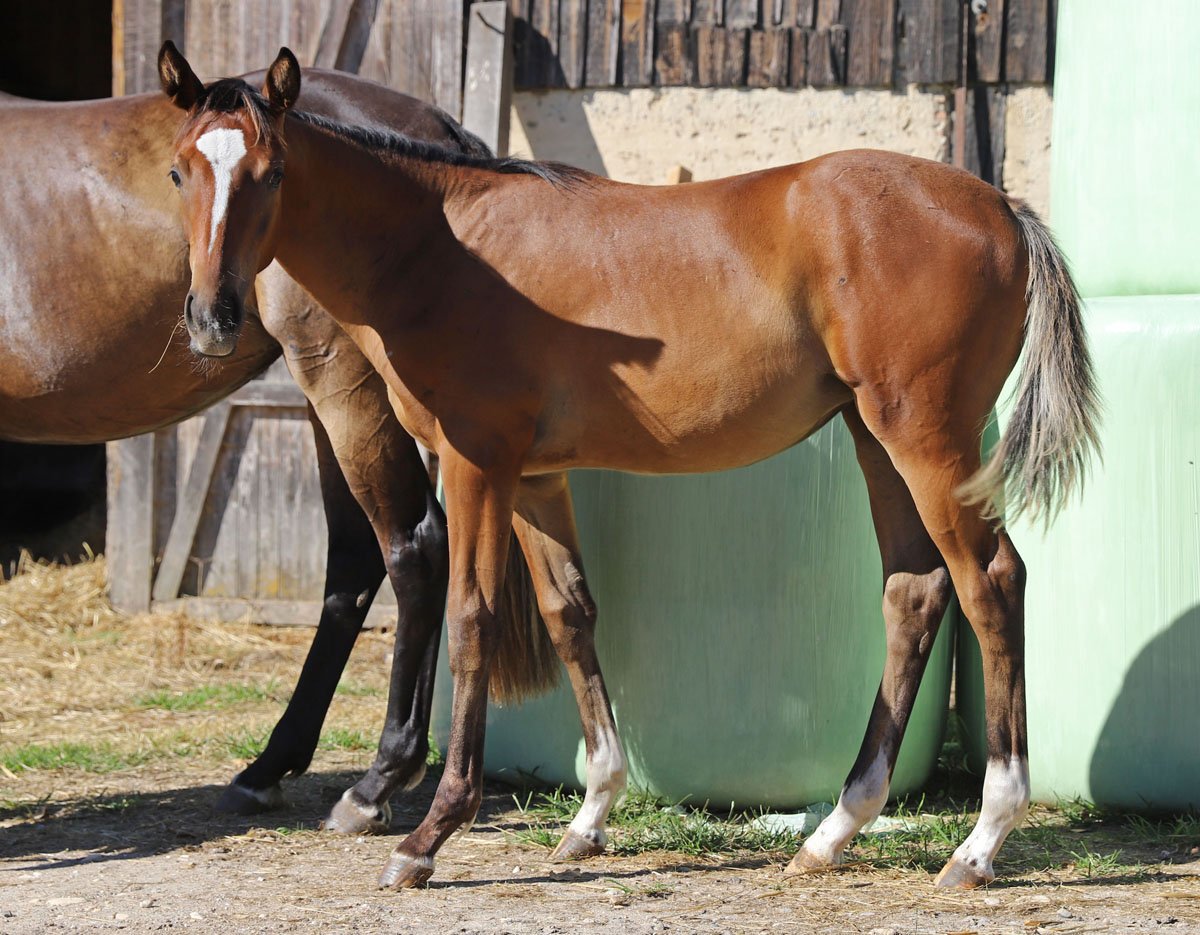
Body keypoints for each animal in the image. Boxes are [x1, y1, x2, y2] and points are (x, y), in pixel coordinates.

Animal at [0, 66, 554, 834]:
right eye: (175, 173)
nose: (208, 316)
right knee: (358, 561)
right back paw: (274, 767)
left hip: (344, 386)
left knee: (413, 545)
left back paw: (378, 778)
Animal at [158, 44, 1101, 890]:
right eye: (177, 172)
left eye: (273, 171)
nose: (213, 317)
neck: (442, 250)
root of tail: (1002, 205)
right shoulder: (535, 479)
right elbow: (570, 613)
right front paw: (590, 815)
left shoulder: (476, 463)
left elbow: (471, 618)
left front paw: (429, 834)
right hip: (877, 442)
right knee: (913, 592)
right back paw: (833, 831)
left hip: (927, 441)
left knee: (990, 581)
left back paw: (980, 841)